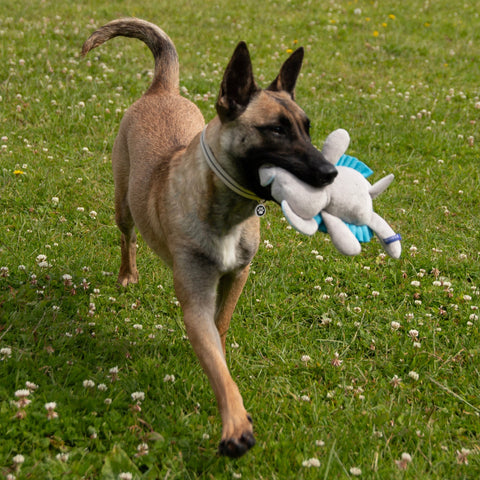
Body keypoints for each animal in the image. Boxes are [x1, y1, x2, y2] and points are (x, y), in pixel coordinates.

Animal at [81, 18, 338, 458]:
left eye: (306, 129)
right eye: (275, 130)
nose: (331, 173)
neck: (227, 209)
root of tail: (161, 90)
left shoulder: (238, 275)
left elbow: (221, 327)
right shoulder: (195, 298)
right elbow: (218, 367)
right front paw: (235, 422)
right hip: (123, 203)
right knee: (127, 238)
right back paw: (127, 274)